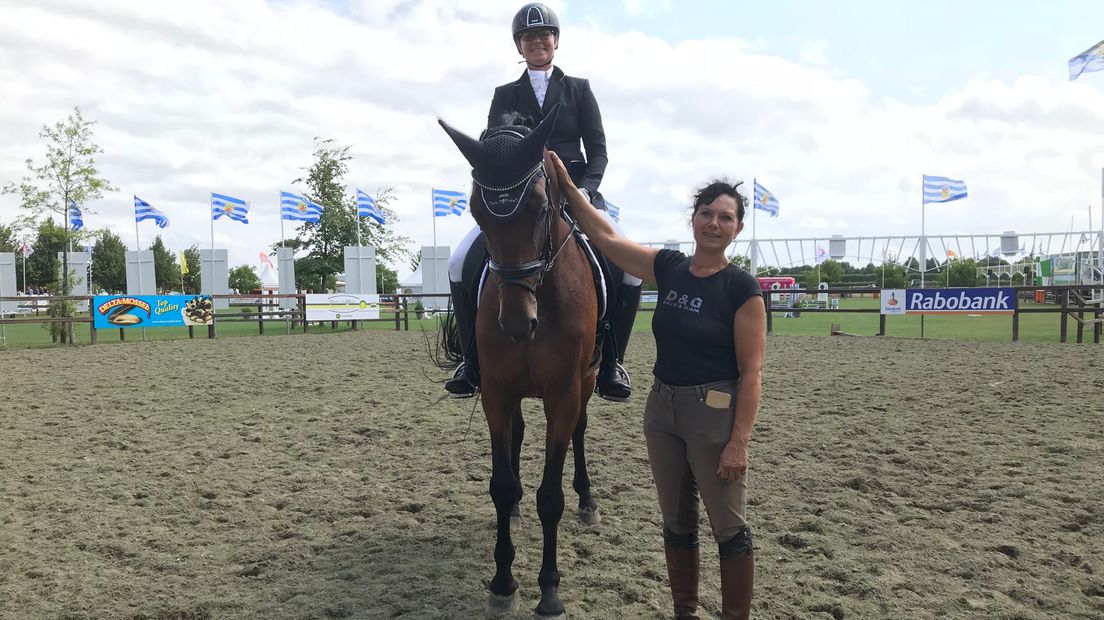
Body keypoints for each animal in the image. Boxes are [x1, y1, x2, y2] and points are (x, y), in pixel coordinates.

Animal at [437, 104, 596, 613]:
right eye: (475, 211)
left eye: (542, 208)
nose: (516, 324)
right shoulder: (497, 392)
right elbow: (502, 486)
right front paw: (503, 583)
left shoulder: (563, 395)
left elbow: (552, 496)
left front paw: (549, 593)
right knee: (519, 437)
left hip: (587, 383)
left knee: (581, 431)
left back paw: (588, 500)